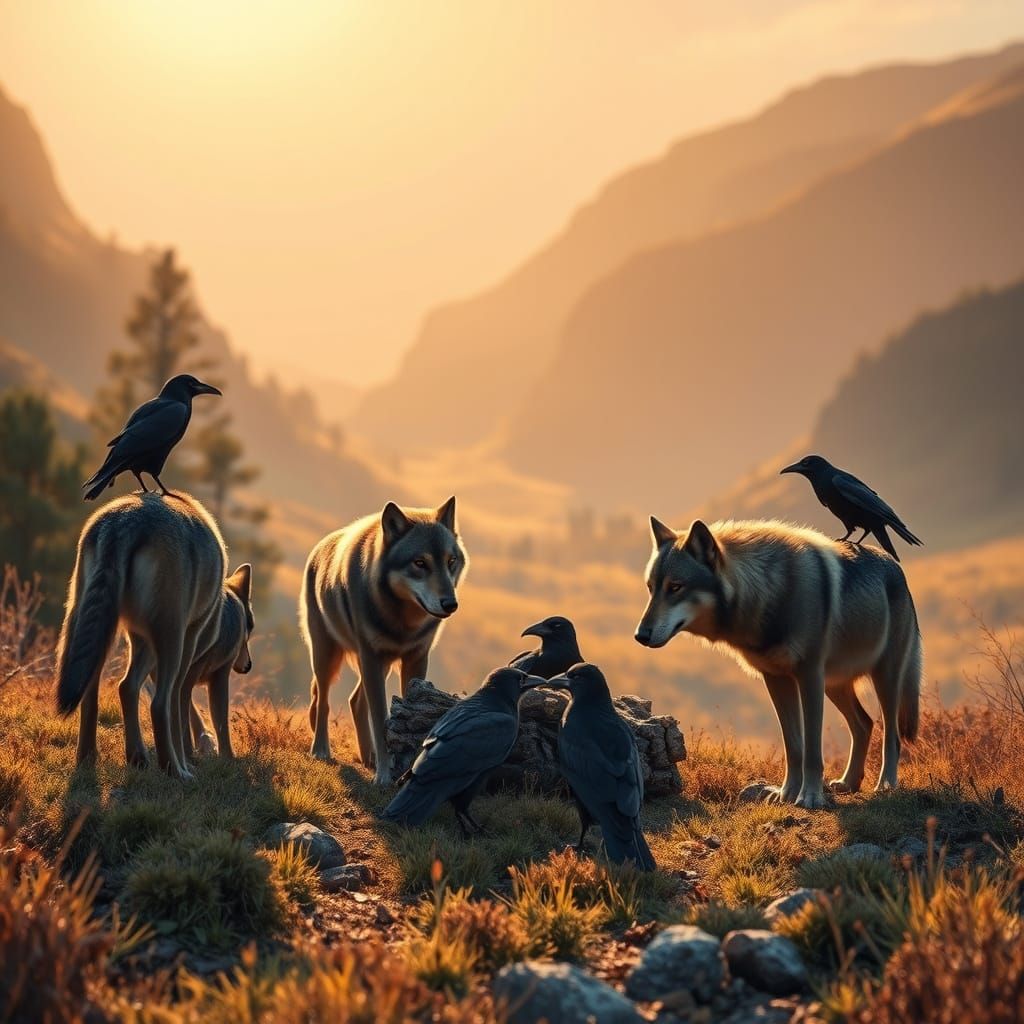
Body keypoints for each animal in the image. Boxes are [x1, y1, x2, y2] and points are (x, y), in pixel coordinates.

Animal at [56, 491, 233, 781]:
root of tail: (123, 522)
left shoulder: (139, 638)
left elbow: (129, 687)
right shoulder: (188, 637)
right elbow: (177, 707)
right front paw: (186, 761)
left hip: (89, 626)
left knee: (98, 693)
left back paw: (94, 759)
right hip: (170, 638)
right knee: (159, 704)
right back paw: (174, 769)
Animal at [299, 497, 467, 783]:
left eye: (451, 560)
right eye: (420, 563)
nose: (450, 604)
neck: (403, 622)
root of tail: (320, 546)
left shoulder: (415, 659)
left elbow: (408, 715)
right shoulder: (371, 656)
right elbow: (380, 721)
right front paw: (384, 776)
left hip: (382, 664)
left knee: (355, 701)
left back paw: (368, 758)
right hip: (327, 655)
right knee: (323, 702)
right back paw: (321, 750)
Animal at [635, 518, 922, 809]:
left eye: (675, 587)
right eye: (650, 588)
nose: (640, 635)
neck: (773, 593)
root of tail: (897, 568)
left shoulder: (810, 676)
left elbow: (812, 749)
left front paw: (810, 796)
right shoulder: (775, 678)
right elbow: (793, 746)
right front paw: (786, 794)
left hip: (884, 678)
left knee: (891, 735)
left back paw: (885, 785)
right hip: (835, 685)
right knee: (864, 724)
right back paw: (848, 783)